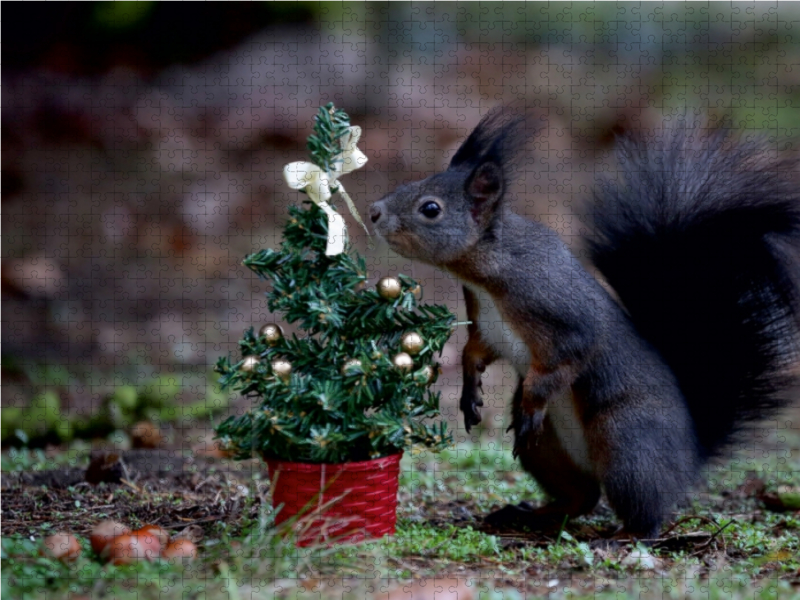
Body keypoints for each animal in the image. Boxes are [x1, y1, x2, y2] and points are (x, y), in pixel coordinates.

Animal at [368, 106, 800, 540]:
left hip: (626, 442)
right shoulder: (485, 323)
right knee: (583, 497)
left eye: (430, 208)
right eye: (409, 184)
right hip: (548, 450)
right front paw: (470, 395)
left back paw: (622, 535)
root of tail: (691, 456)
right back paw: (526, 514)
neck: (489, 271)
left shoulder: (562, 317)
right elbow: (475, 352)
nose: (373, 212)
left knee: (643, 514)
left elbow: (567, 358)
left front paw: (531, 401)